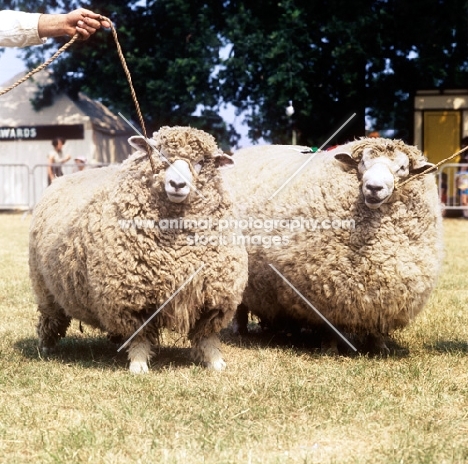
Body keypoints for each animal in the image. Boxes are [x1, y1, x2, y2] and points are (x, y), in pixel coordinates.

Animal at [29, 126, 249, 374]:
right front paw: (138, 364)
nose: (178, 185)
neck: (177, 250)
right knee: (50, 320)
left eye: (201, 161)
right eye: (160, 153)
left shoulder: (213, 296)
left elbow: (207, 337)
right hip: (45, 290)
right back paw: (45, 348)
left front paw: (215, 361)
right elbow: (140, 337)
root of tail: (60, 179)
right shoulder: (130, 299)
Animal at [222, 136, 442, 354]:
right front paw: (329, 349)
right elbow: (330, 327)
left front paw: (380, 348)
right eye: (362, 162)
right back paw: (240, 329)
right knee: (240, 307)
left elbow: (377, 328)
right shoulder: (327, 291)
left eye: (402, 167)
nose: (374, 188)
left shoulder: (383, 297)